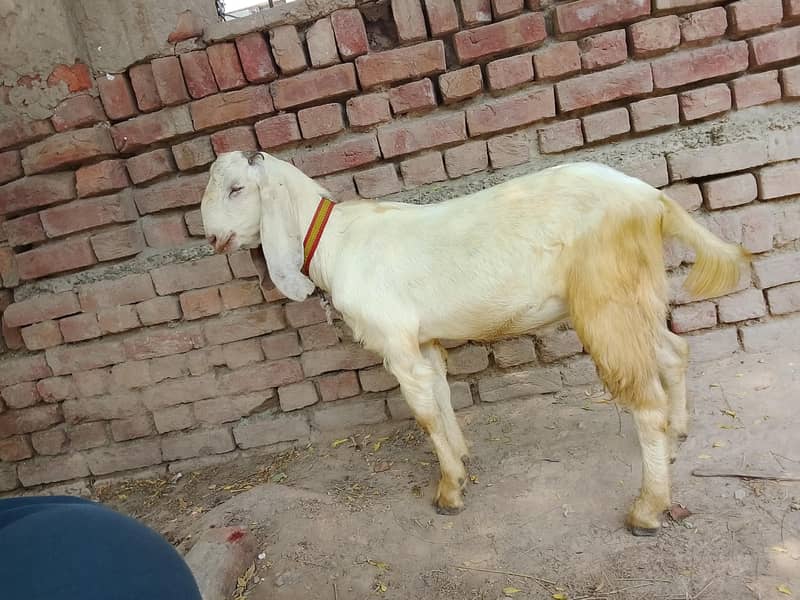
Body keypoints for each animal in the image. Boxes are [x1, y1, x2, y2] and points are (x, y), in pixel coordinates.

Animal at [201, 150, 749, 535]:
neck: (335, 241)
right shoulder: (423, 342)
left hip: (606, 299)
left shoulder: (396, 341)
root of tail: (651, 200)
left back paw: (647, 509)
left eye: (236, 188)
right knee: (674, 352)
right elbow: (441, 395)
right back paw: (678, 438)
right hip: (637, 295)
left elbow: (423, 412)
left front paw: (448, 493)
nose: (211, 239)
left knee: (644, 400)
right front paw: (462, 461)